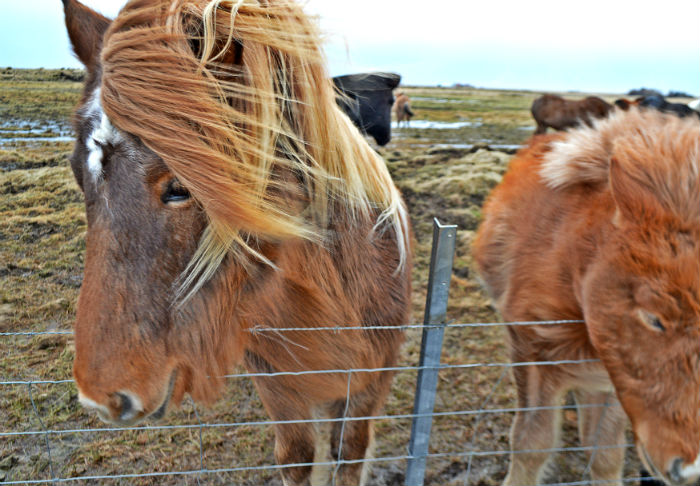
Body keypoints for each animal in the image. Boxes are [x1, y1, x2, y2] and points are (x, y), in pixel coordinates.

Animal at [63, 0, 412, 486]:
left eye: (182, 185)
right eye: (79, 175)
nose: (102, 397)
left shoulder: (372, 377)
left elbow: (349, 451)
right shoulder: (278, 380)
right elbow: (296, 455)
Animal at [474, 108, 700, 484]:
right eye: (653, 317)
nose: (690, 468)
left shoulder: (614, 380)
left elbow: (604, 453)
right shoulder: (531, 353)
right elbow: (531, 443)